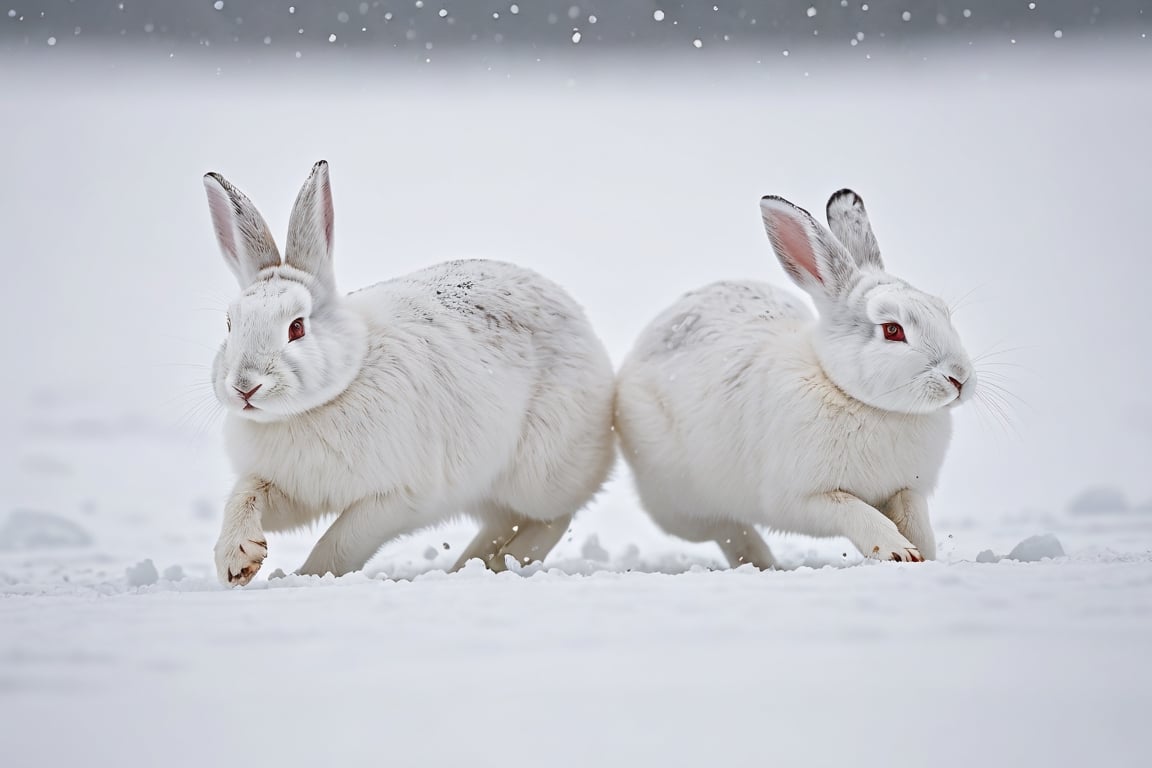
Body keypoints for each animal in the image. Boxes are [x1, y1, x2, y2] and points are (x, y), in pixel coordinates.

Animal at [202, 161, 617, 582]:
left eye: (297, 328)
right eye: (230, 324)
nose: (244, 387)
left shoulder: (397, 497)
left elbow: (342, 541)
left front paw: (309, 577)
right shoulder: (287, 486)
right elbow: (246, 494)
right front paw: (236, 561)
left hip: (539, 472)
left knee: (554, 516)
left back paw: (506, 561)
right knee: (504, 520)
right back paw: (472, 565)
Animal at [617, 188, 976, 568]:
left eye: (943, 311)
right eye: (893, 330)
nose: (959, 378)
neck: (850, 394)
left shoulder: (906, 487)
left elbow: (913, 515)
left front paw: (923, 554)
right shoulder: (804, 498)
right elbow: (853, 511)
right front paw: (897, 550)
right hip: (683, 501)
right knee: (728, 527)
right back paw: (762, 563)